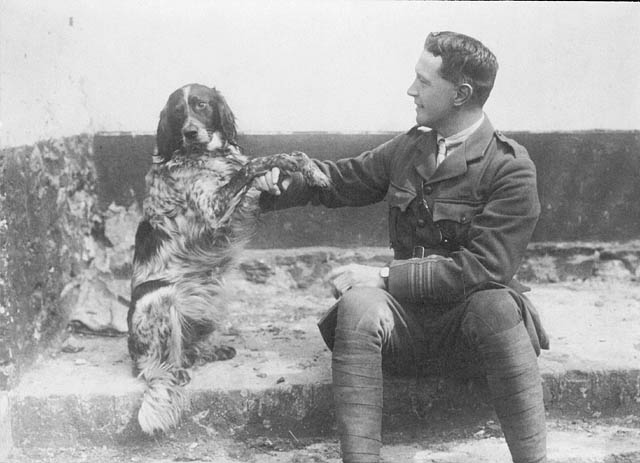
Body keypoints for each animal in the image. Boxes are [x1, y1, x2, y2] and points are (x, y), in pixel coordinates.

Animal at [128, 82, 332, 436]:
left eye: (201, 105)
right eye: (178, 112)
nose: (191, 132)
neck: (206, 155)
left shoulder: (251, 201)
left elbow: (284, 157)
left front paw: (313, 172)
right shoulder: (213, 209)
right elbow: (256, 163)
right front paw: (294, 165)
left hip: (212, 296)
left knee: (190, 347)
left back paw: (208, 350)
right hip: (158, 296)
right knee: (152, 367)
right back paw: (172, 371)